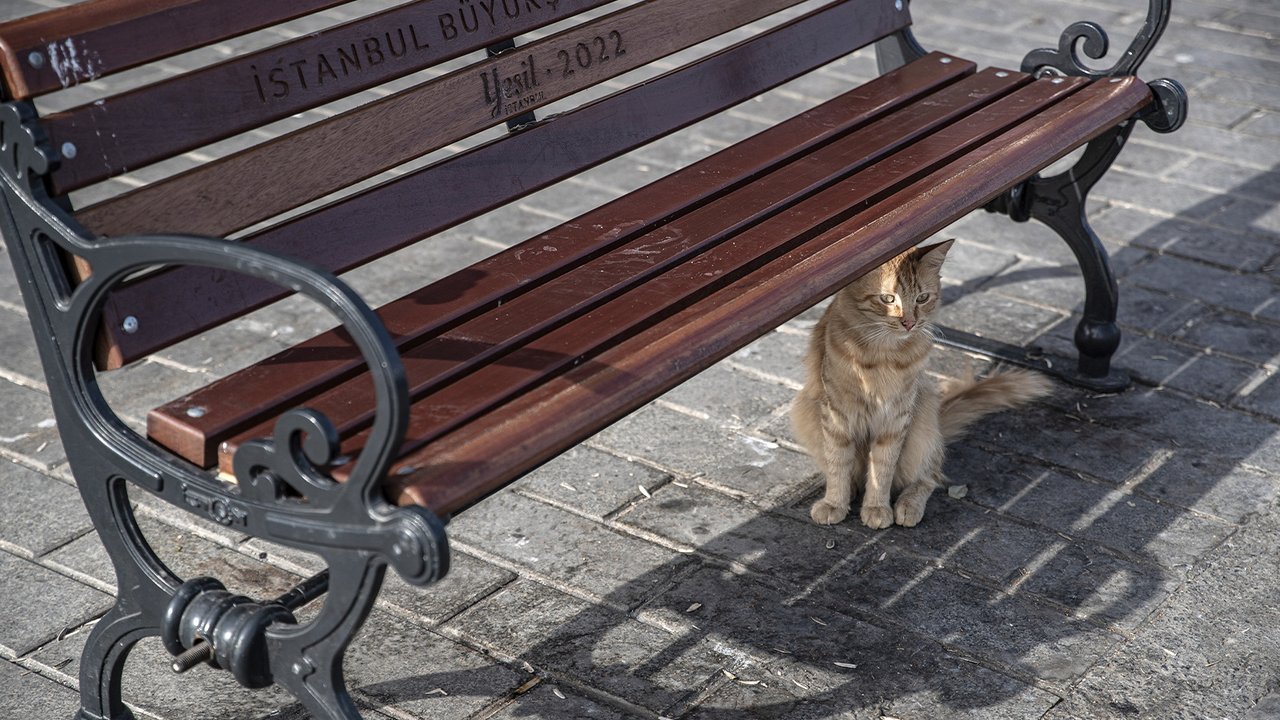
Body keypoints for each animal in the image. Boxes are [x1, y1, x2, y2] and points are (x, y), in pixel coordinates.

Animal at [788, 240, 1049, 527]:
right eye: (888, 299)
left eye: (922, 298)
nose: (909, 323)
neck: (881, 356)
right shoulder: (837, 413)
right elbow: (838, 464)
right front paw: (835, 502)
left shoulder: (896, 416)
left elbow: (882, 468)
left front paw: (877, 507)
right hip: (804, 410)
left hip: (922, 422)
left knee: (929, 477)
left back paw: (908, 505)